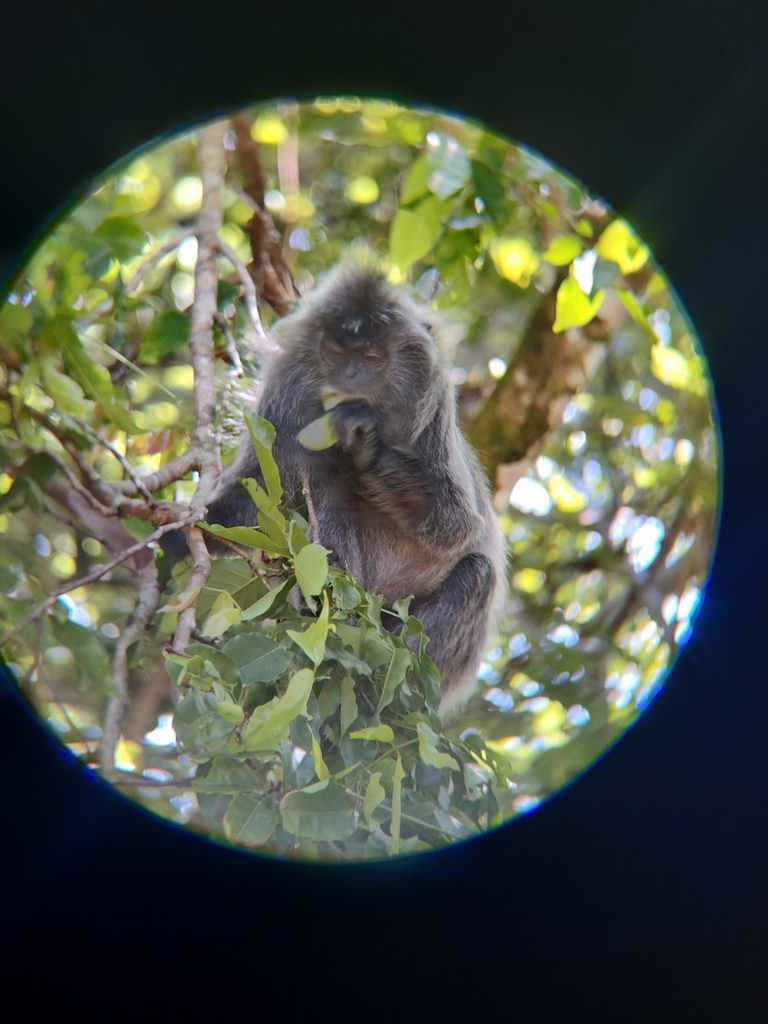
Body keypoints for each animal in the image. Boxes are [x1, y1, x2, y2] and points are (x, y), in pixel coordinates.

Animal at [166, 261, 507, 721]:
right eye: (335, 352)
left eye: (371, 357)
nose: (349, 376)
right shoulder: (283, 407)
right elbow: (253, 501)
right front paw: (186, 534)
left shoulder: (434, 421)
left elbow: (457, 528)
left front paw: (367, 443)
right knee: (332, 494)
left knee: (477, 573)